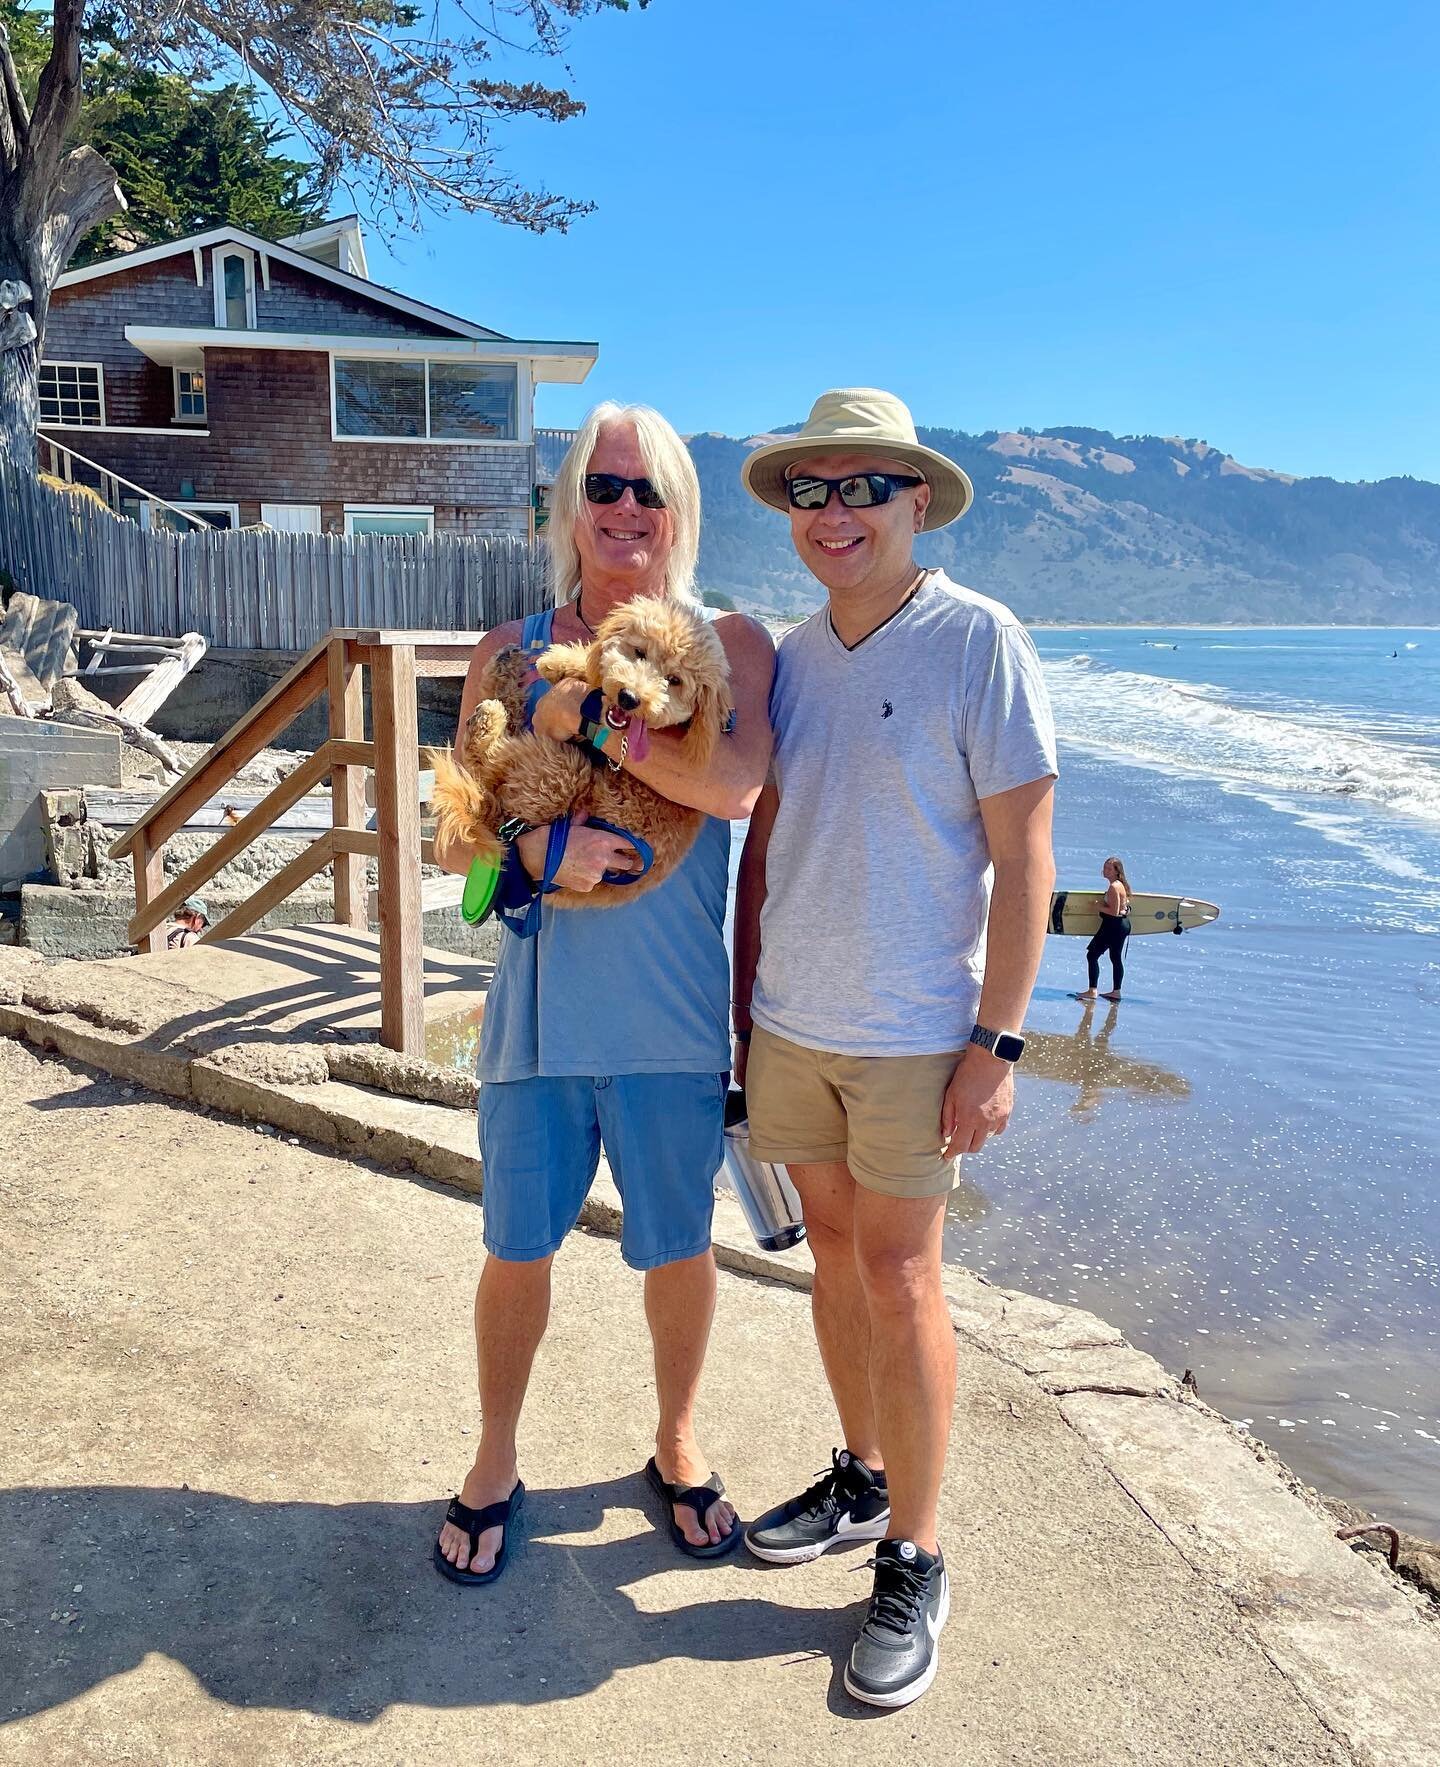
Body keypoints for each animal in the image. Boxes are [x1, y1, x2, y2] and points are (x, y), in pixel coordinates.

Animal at [427, 597, 731, 904]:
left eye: (675, 680)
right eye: (639, 652)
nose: (629, 698)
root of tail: (509, 822)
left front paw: (558, 663)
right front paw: (564, 662)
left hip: (561, 770)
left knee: (488, 758)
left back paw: (488, 718)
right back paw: (503, 667)